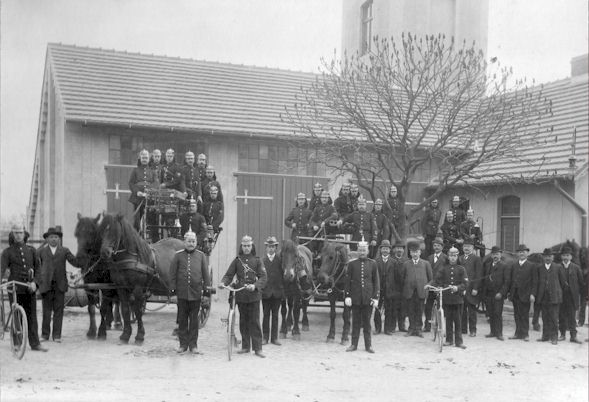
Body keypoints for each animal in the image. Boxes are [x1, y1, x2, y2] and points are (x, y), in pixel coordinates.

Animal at [97, 214, 184, 342]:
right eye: (101, 230)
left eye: (114, 231)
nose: (104, 252)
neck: (130, 258)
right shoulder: (121, 288)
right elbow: (125, 309)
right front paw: (125, 334)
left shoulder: (138, 288)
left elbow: (137, 310)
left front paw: (139, 335)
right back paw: (178, 329)